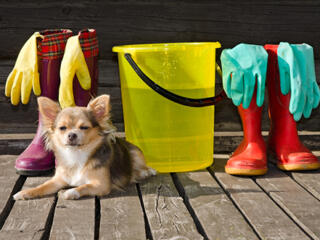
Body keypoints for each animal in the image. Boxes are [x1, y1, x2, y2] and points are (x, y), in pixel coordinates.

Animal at [13, 94, 156, 200]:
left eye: (84, 127)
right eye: (62, 128)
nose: (72, 135)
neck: (76, 155)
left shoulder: (101, 185)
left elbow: (83, 187)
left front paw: (69, 192)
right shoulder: (57, 180)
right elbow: (42, 186)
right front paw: (24, 193)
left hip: (137, 153)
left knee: (143, 167)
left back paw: (144, 172)